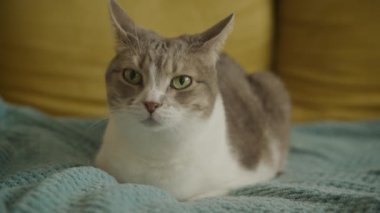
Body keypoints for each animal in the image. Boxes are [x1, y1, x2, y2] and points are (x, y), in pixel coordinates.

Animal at [95, 0, 290, 201]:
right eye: (132, 75)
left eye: (182, 81)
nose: (151, 103)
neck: (156, 152)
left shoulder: (237, 179)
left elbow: (197, 197)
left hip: (271, 85)